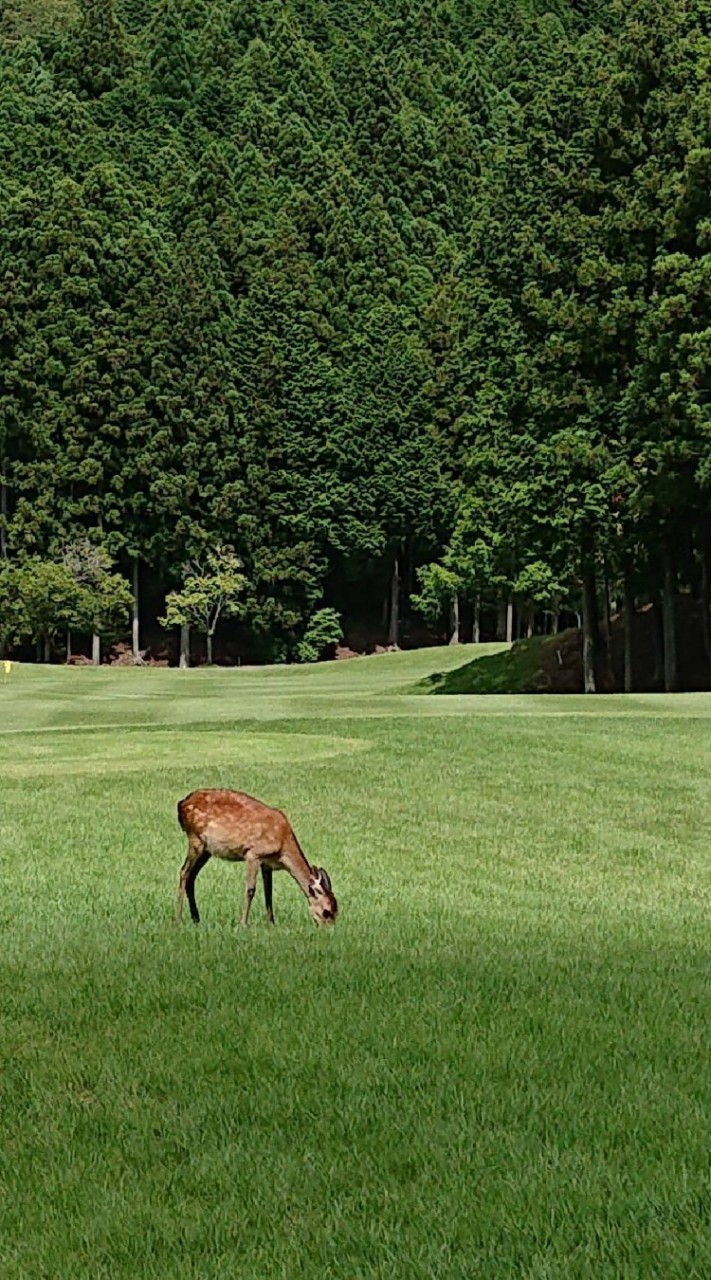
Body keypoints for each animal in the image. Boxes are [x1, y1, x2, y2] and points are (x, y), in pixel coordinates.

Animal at [174, 783, 338, 926]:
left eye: (336, 911)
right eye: (326, 912)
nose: (329, 930)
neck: (282, 845)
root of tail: (182, 804)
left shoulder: (268, 862)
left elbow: (269, 892)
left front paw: (271, 924)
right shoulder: (253, 853)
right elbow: (250, 889)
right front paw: (243, 924)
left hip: (207, 849)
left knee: (192, 876)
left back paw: (196, 918)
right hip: (195, 839)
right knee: (184, 872)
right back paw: (179, 920)